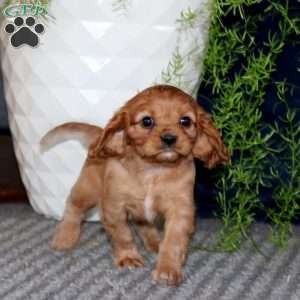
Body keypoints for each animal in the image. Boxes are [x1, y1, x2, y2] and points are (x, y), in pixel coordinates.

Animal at [41, 84, 229, 286]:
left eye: (185, 121)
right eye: (147, 121)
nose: (169, 138)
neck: (153, 170)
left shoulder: (181, 209)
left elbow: (174, 240)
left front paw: (168, 268)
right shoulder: (114, 206)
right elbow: (122, 234)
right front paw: (128, 257)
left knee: (144, 224)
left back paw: (155, 243)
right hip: (87, 190)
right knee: (73, 208)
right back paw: (65, 237)